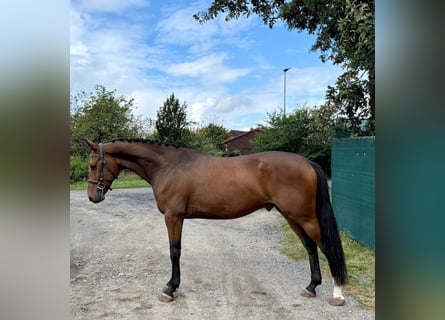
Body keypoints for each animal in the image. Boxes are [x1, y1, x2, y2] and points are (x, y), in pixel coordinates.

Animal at [84, 139, 346, 306]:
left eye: (94, 165)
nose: (92, 197)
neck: (168, 166)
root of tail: (307, 163)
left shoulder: (173, 217)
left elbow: (174, 251)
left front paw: (170, 288)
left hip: (304, 217)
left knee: (327, 249)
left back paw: (337, 294)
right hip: (291, 216)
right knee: (310, 247)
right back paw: (311, 287)